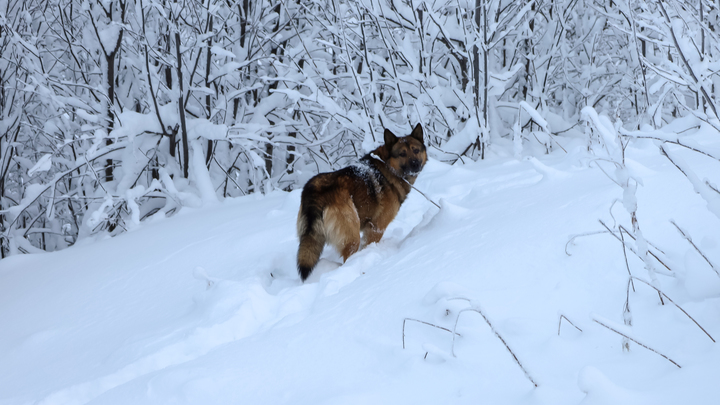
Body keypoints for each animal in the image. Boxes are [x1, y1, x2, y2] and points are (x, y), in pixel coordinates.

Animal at [296, 123, 428, 280]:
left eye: (416, 150)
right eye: (402, 154)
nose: (415, 164)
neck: (387, 166)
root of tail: (316, 191)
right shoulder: (376, 228)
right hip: (352, 235)